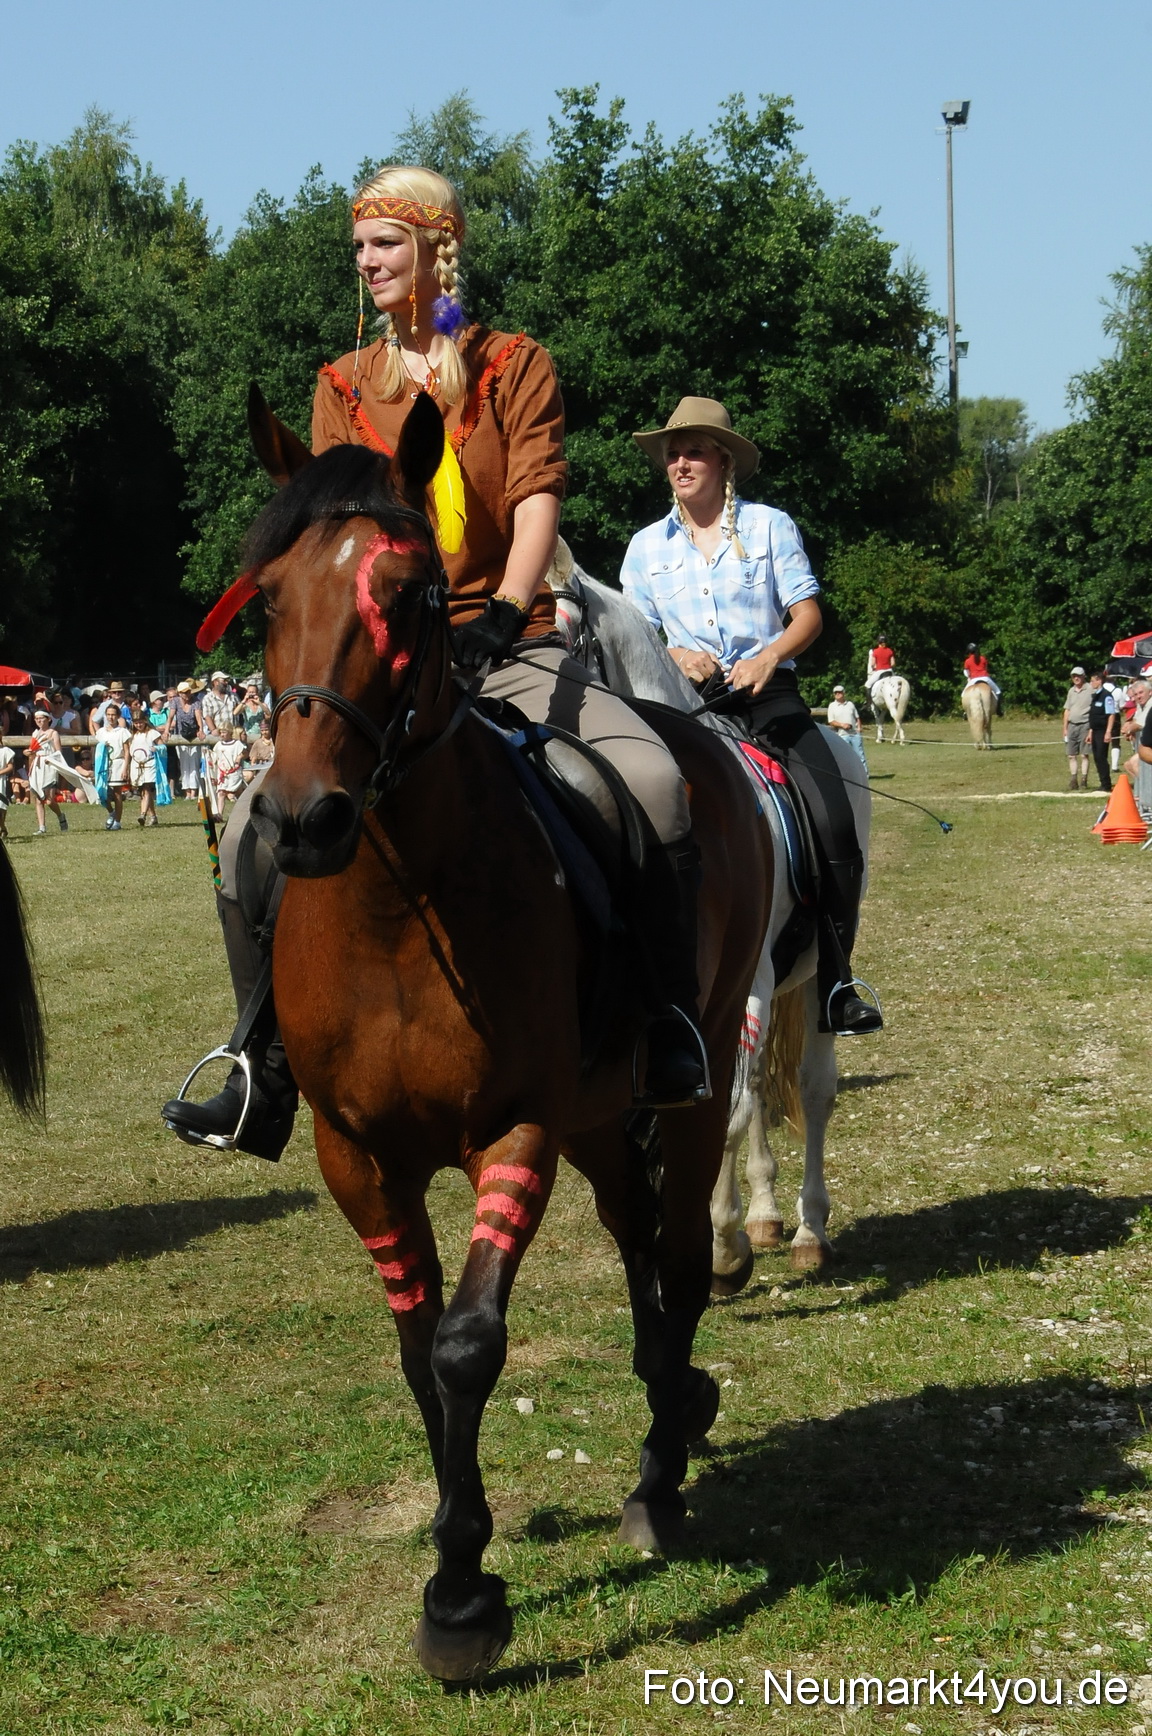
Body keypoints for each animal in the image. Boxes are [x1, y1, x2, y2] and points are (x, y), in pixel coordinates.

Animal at [237, 391, 773, 1682]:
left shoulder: (515, 1126)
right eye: (268, 597)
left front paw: (461, 1593)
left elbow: (468, 1343)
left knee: (683, 1253)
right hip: (600, 1115)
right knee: (639, 1246)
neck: (395, 905)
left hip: (687, 1082)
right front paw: (457, 1558)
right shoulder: (356, 1154)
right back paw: (673, 1405)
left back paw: (661, 1477)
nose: (303, 819)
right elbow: (414, 1345)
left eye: (413, 596)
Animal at [545, 557, 870, 1275]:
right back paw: (768, 1217)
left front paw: (721, 1247)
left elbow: (728, 1115)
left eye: (557, 645)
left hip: (816, 977)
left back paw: (808, 1230)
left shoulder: (746, 986)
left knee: (811, 1089)